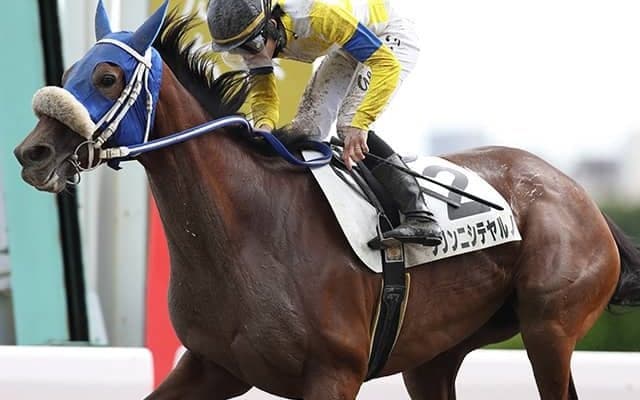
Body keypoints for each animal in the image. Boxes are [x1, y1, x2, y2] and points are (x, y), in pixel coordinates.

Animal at [13, 2, 640, 399]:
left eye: (109, 77)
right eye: (69, 70)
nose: (31, 153)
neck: (248, 231)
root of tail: (580, 196)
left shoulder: (333, 374)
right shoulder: (213, 366)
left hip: (549, 329)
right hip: (437, 354)